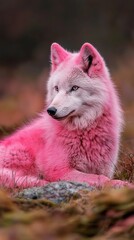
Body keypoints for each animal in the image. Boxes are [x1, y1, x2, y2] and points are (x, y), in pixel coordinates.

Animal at [0, 41, 128, 188]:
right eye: (56, 88)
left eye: (74, 88)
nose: (51, 110)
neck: (83, 131)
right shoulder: (59, 171)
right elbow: (101, 179)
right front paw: (122, 184)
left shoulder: (105, 169)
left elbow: (102, 176)